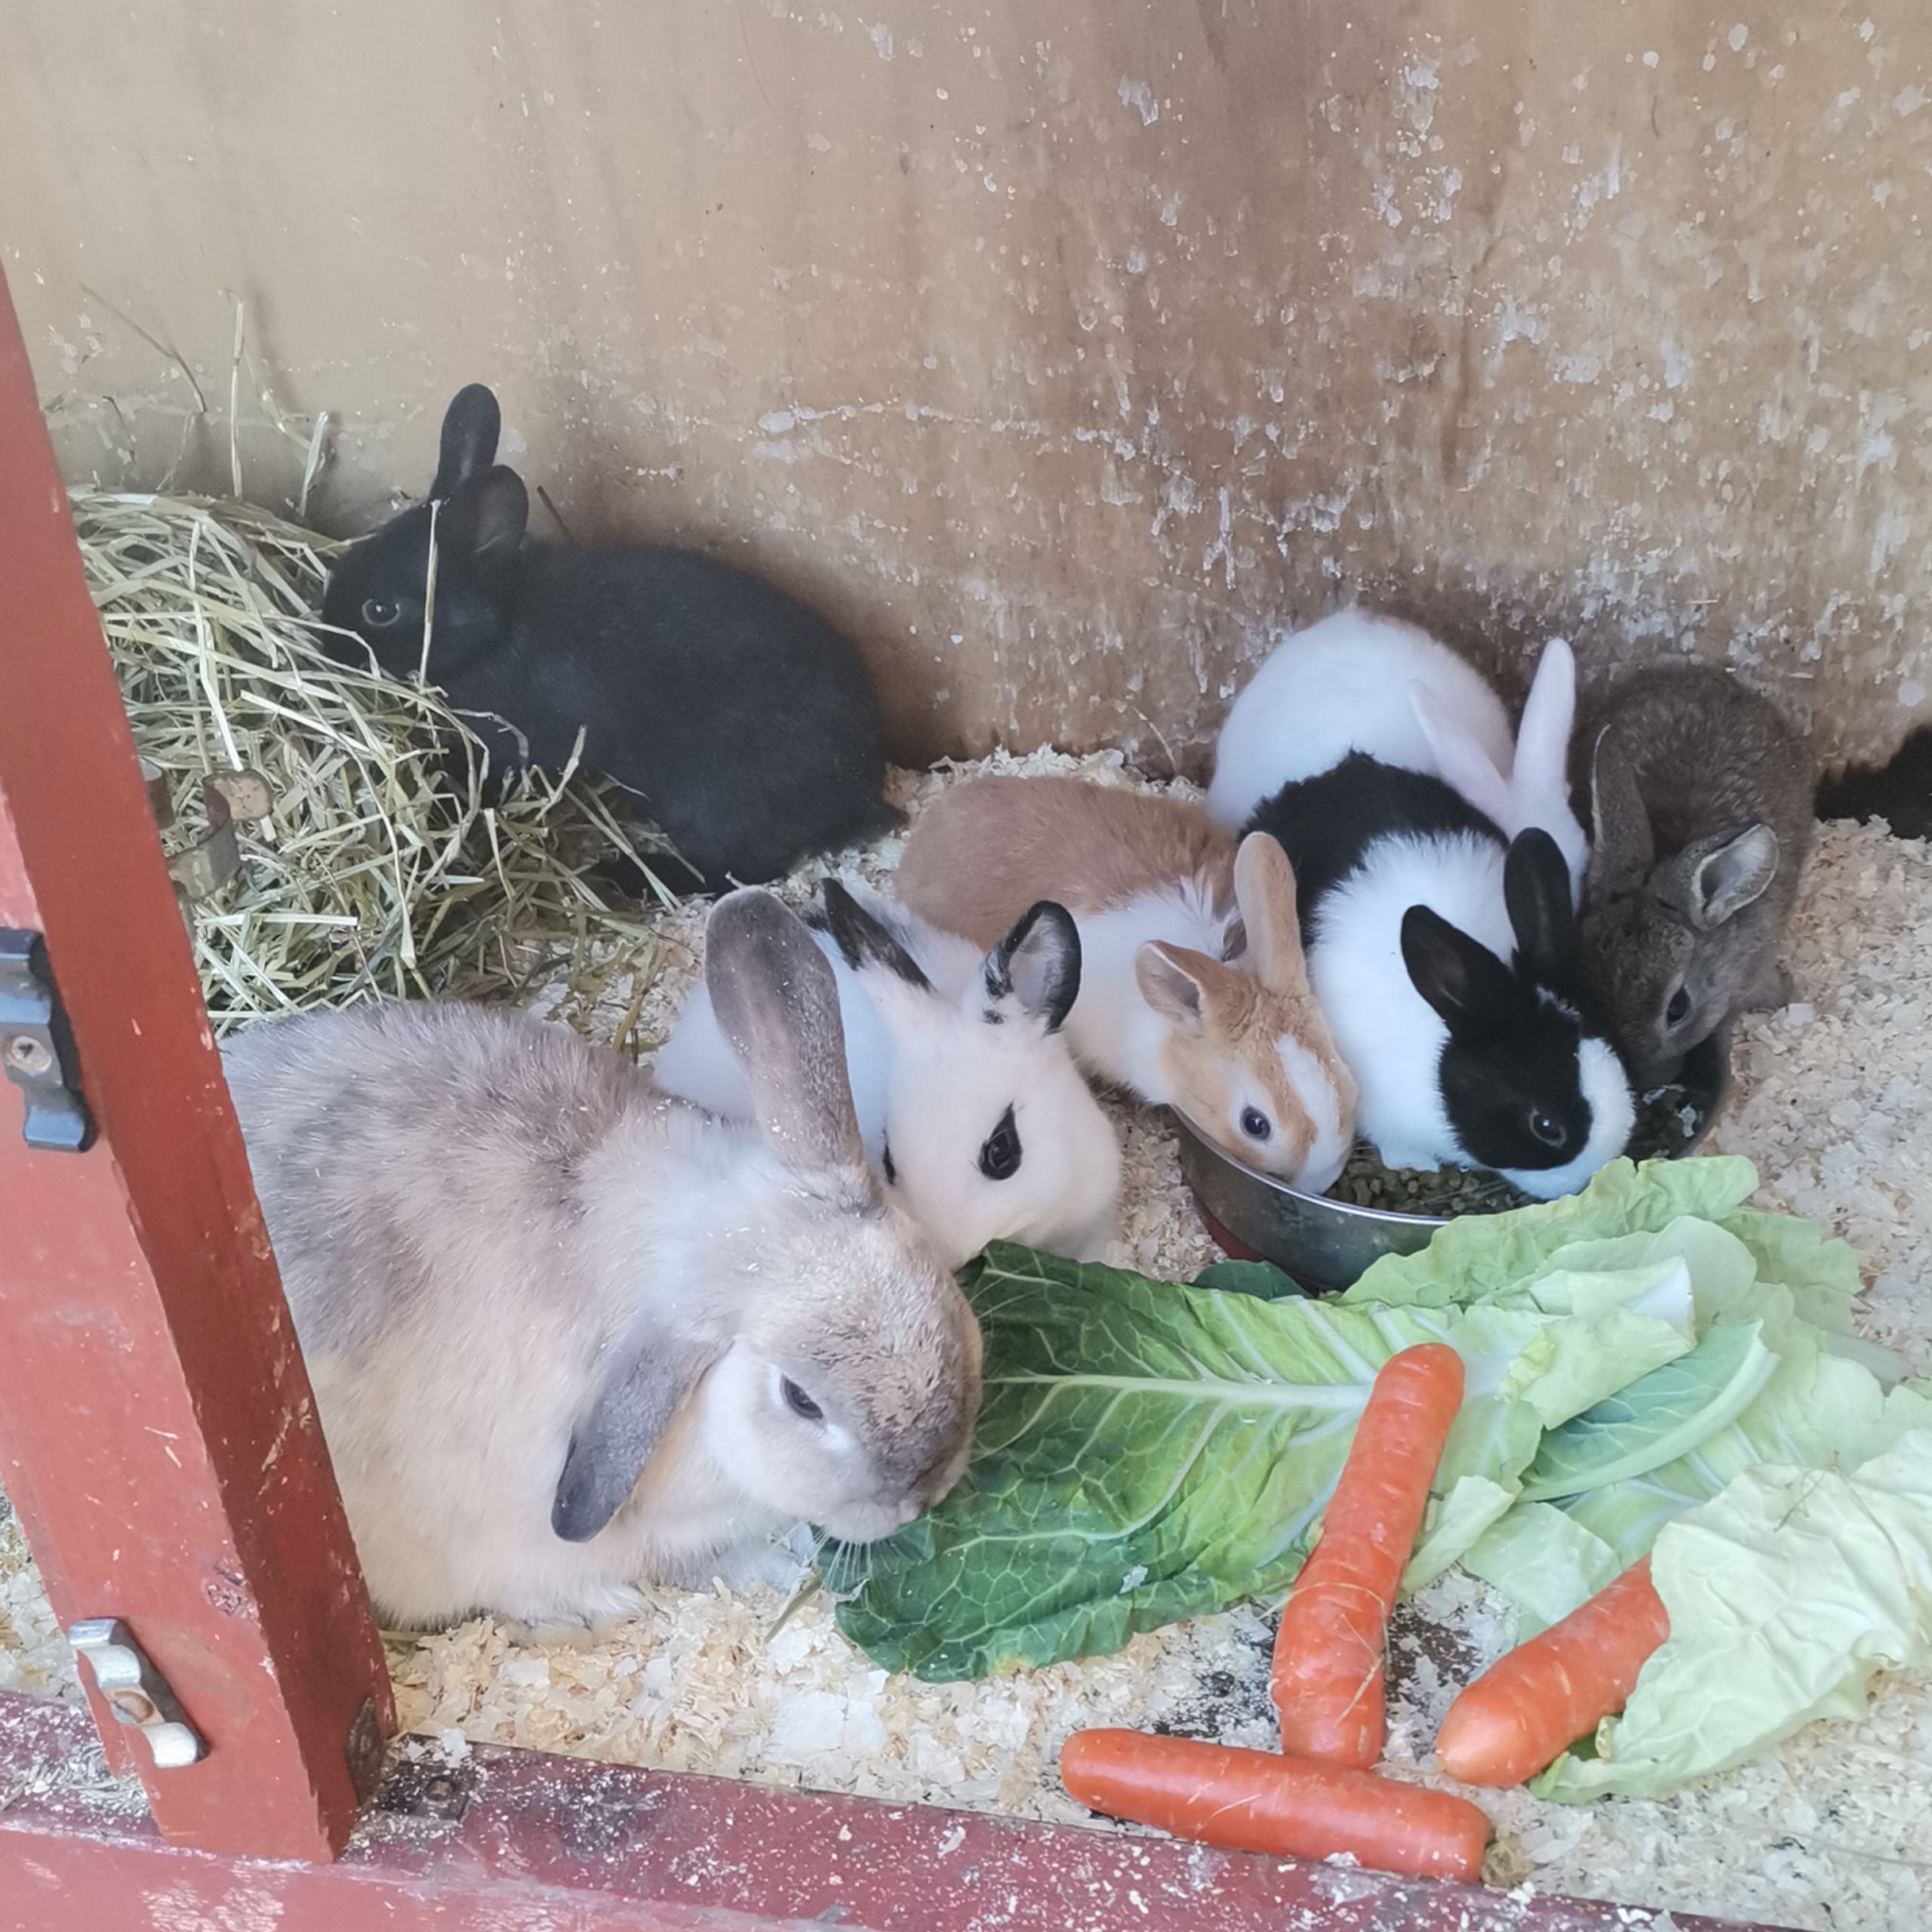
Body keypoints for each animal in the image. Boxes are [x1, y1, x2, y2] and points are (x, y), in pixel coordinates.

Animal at [320, 383, 898, 895]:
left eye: (380, 611)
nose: (328, 647)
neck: (499, 626)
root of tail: (859, 788)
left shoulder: (521, 745)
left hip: (718, 807)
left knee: (737, 873)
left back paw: (628, 875)